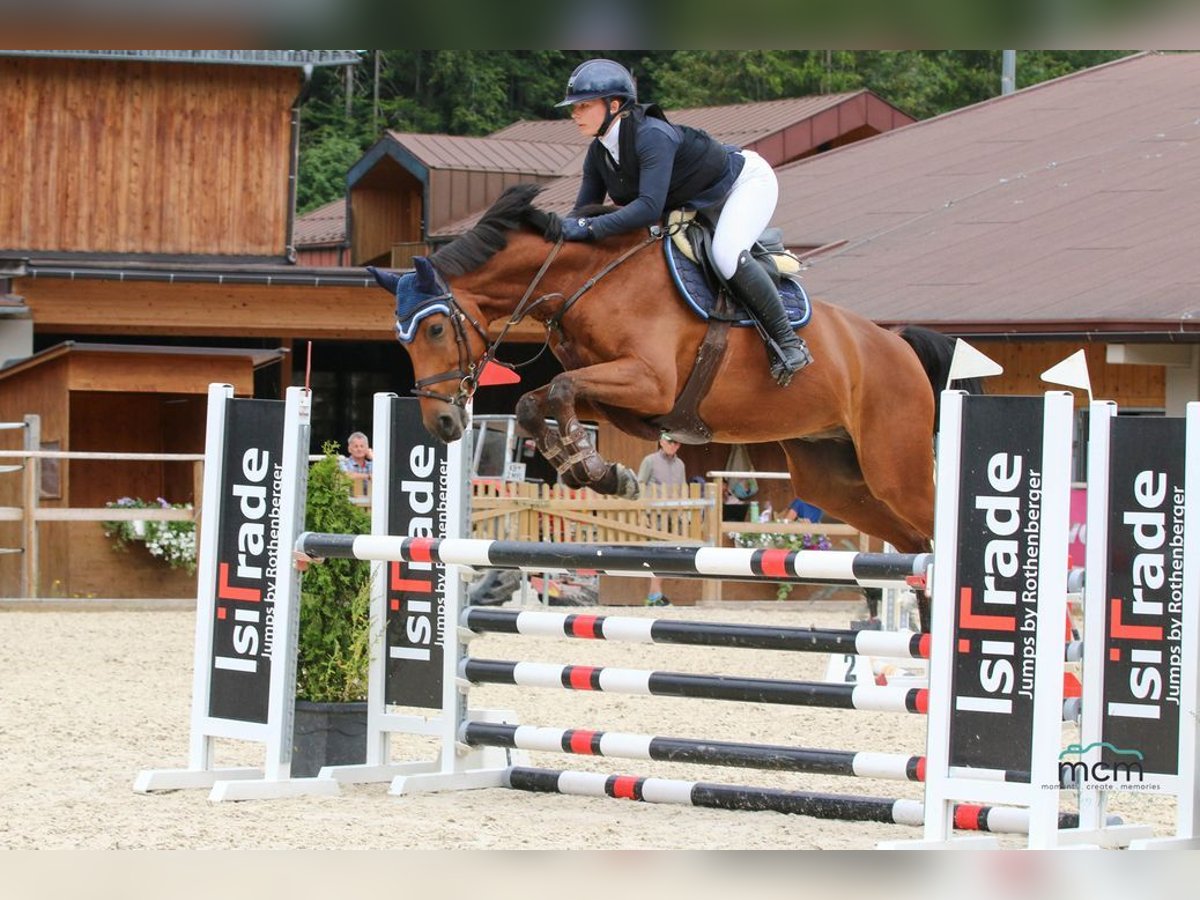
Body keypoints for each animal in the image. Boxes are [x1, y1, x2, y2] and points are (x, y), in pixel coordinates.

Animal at [369, 182, 960, 619]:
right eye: (402, 339)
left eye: (437, 329)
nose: (443, 423)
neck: (587, 277)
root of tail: (898, 345)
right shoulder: (625, 398)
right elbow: (537, 402)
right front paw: (595, 471)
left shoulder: (648, 381)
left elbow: (559, 390)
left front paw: (593, 468)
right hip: (833, 479)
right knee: (911, 541)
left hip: (894, 466)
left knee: (929, 530)